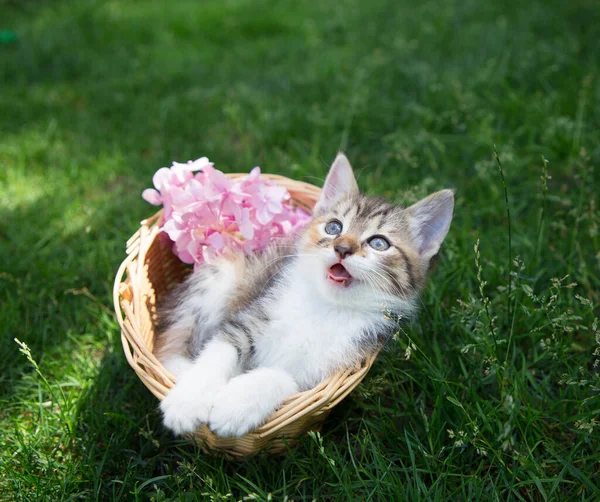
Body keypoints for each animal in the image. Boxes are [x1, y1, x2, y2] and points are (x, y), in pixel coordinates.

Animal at [155, 155, 454, 438]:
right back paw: (181, 369)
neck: (325, 307)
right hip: (221, 275)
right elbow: (220, 349)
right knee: (172, 339)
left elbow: (285, 379)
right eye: (334, 227)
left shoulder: (328, 369)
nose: (342, 248)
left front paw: (237, 404)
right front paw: (188, 401)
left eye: (379, 243)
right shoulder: (253, 314)